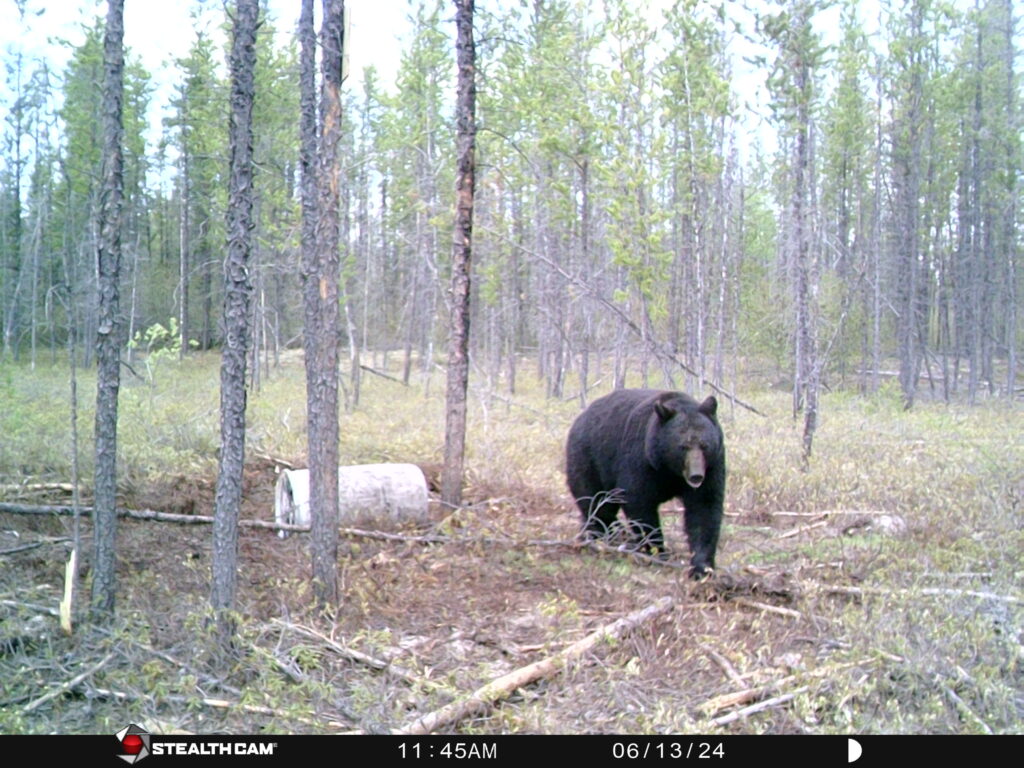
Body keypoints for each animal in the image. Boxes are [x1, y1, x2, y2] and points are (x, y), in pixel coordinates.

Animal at [565, 389, 726, 578]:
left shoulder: (712, 467)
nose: (696, 476)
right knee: (596, 502)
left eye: (704, 445)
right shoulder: (640, 460)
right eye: (683, 446)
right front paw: (656, 551)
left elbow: (704, 509)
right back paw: (605, 535)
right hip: (590, 458)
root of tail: (581, 416)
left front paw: (702, 567)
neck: (668, 468)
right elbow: (640, 503)